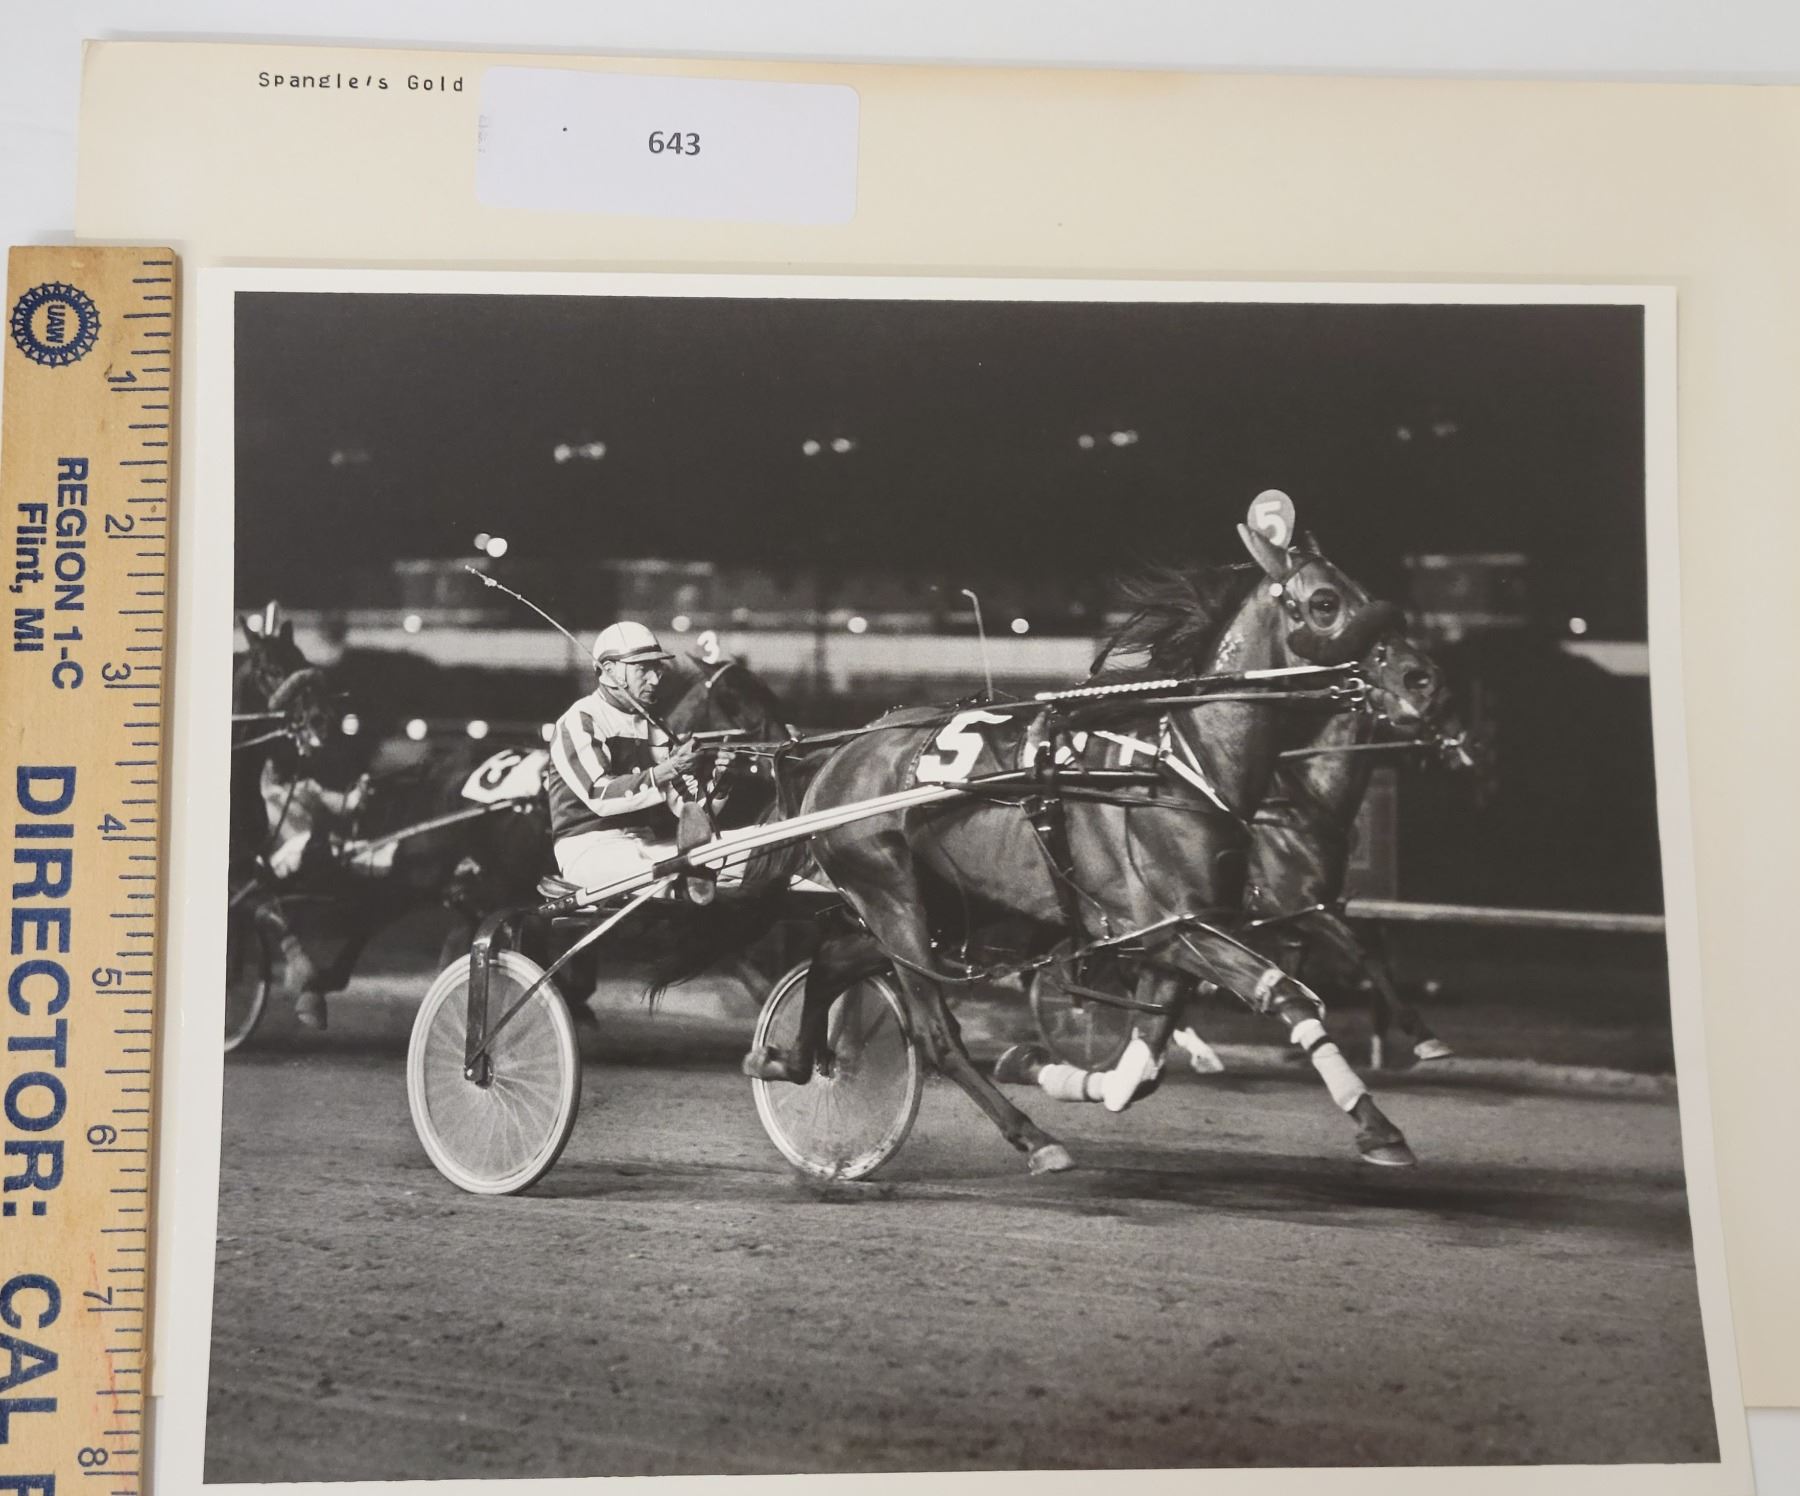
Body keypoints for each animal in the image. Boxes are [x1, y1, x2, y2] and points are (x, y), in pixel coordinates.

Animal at [746, 503, 1425, 1175]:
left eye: (1366, 590)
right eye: (1325, 602)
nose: (1420, 677)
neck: (1179, 762)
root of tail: (838, 755)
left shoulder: (1178, 934)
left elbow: (1140, 1070)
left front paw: (1042, 1065)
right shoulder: (1170, 927)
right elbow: (1286, 992)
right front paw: (1379, 1127)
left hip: (951, 907)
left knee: (832, 963)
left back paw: (790, 1061)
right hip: (891, 897)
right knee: (935, 1033)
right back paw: (1032, 1137)